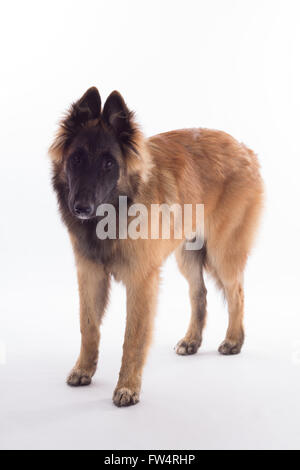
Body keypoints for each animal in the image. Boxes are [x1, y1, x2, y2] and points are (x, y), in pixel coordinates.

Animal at [50, 86, 264, 406]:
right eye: (76, 159)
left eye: (108, 163)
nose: (81, 208)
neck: (115, 211)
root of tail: (244, 149)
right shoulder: (90, 275)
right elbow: (88, 327)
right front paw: (84, 369)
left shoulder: (141, 281)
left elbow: (133, 337)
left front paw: (128, 386)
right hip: (187, 256)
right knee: (199, 294)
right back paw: (192, 340)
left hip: (221, 253)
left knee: (236, 292)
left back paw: (233, 340)